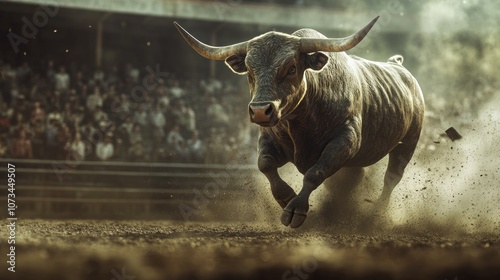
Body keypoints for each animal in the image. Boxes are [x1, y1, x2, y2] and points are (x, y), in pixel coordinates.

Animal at [174, 15, 424, 228]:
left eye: (292, 68)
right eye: (250, 73)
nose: (260, 111)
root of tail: (399, 67)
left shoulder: (346, 140)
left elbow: (314, 173)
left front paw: (296, 210)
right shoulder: (269, 138)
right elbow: (265, 164)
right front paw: (286, 198)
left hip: (407, 144)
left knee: (391, 178)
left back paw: (374, 216)